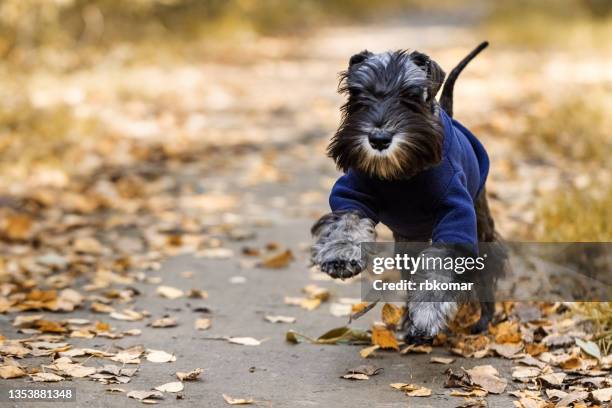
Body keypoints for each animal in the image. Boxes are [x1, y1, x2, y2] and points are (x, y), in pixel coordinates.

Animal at [310, 40, 502, 342]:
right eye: (358, 94)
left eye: (410, 95)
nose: (378, 139)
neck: (401, 176)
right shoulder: (353, 193)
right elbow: (347, 220)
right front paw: (340, 255)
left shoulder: (456, 215)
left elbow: (439, 262)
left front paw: (427, 311)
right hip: (408, 240)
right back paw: (407, 325)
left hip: (481, 223)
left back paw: (483, 320)